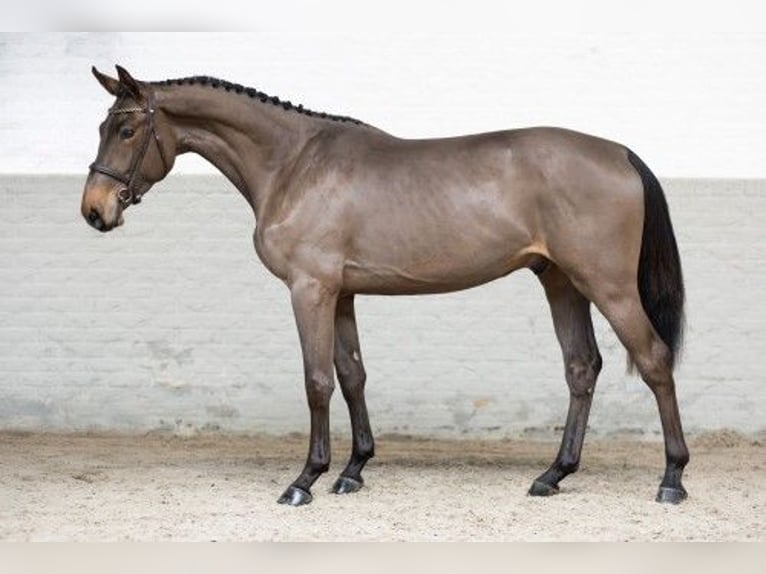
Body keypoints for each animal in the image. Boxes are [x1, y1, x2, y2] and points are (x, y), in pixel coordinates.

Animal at [81, 65, 692, 508]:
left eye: (128, 130)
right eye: (103, 128)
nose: (94, 210)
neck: (293, 164)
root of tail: (620, 153)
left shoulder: (310, 290)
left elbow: (317, 381)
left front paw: (305, 479)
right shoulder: (342, 293)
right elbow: (352, 375)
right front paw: (353, 470)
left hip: (608, 286)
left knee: (654, 360)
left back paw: (672, 478)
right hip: (562, 281)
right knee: (581, 367)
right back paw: (553, 475)